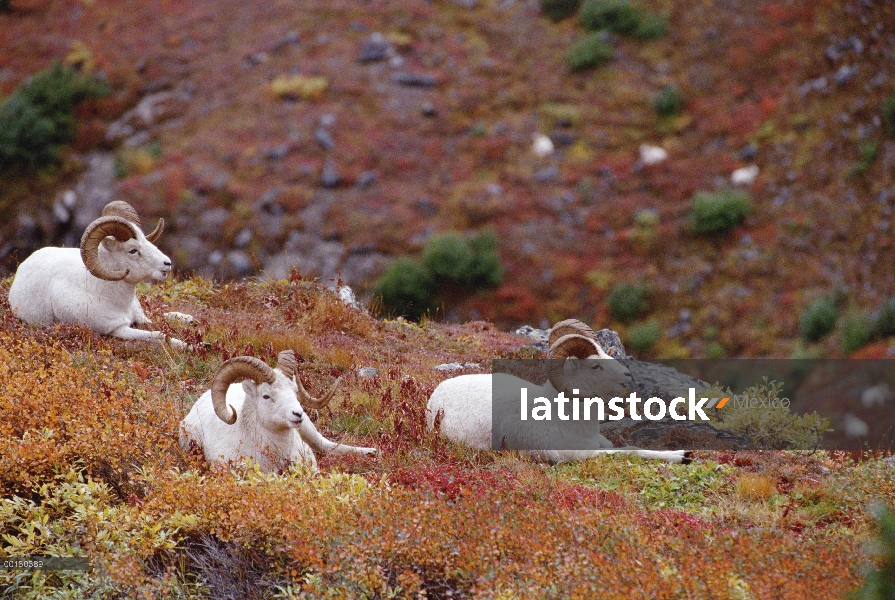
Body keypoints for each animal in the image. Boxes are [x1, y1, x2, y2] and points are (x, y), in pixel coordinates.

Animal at [8, 202, 194, 350]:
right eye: (133, 250)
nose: (167, 263)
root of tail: (24, 265)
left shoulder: (139, 318)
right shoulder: (119, 330)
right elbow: (158, 335)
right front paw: (189, 346)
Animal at [428, 318, 692, 464]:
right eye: (595, 366)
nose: (628, 376)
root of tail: (436, 396)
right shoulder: (582, 455)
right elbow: (630, 451)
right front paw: (683, 457)